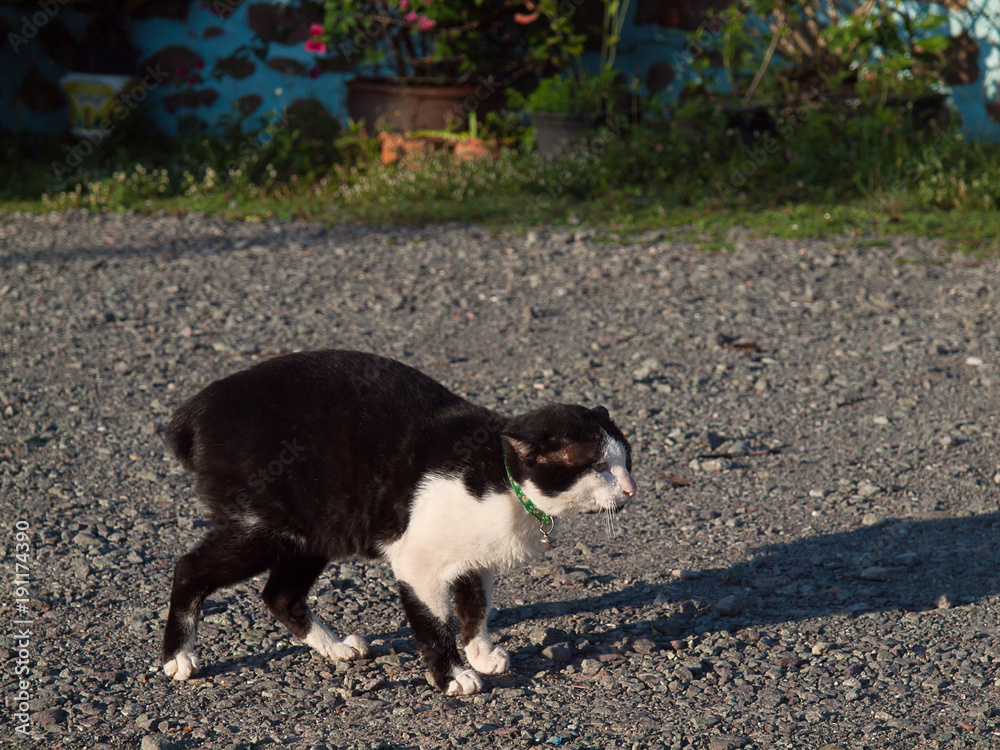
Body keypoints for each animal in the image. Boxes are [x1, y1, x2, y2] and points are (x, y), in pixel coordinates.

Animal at [161, 352, 636, 700]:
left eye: (627, 460)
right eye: (597, 467)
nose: (632, 489)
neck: (500, 478)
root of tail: (200, 405)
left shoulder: (475, 561)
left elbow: (476, 608)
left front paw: (480, 653)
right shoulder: (417, 562)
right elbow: (434, 624)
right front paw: (453, 676)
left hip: (315, 533)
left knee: (279, 594)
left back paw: (335, 648)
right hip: (265, 527)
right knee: (189, 568)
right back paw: (177, 658)